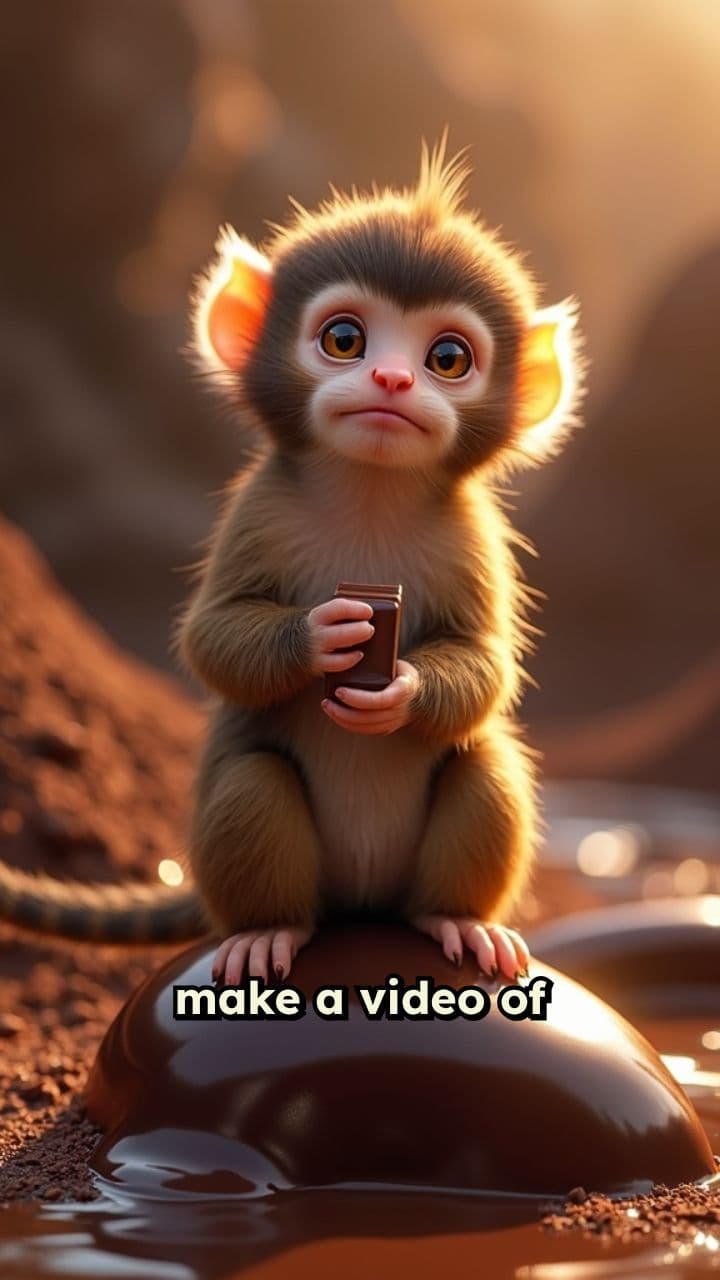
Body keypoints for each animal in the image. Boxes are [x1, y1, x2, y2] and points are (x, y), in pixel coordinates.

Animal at [0, 139, 582, 984]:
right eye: (344, 340)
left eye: (448, 357)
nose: (392, 378)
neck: (371, 492)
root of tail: (360, 905)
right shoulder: (258, 508)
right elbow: (210, 640)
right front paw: (321, 635)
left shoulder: (476, 538)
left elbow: (486, 667)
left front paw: (400, 687)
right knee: (253, 780)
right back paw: (267, 929)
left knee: (485, 764)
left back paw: (456, 918)